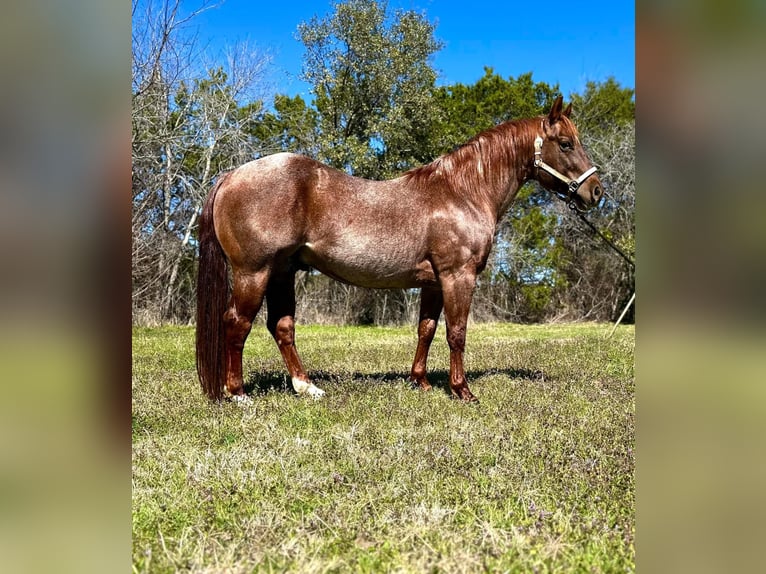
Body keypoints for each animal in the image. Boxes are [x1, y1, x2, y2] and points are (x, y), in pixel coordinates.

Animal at [195, 97, 604, 402]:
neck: (463, 191)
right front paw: (462, 391)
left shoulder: (434, 282)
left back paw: (307, 387)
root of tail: (230, 176)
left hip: (281, 272)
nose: (596, 192)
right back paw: (238, 393)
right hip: (254, 272)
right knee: (237, 323)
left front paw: (420, 382)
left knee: (281, 327)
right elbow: (457, 332)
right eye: (566, 144)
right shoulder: (458, 276)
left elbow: (426, 329)